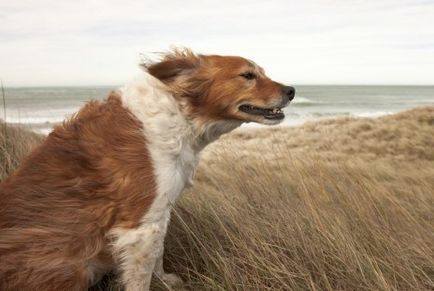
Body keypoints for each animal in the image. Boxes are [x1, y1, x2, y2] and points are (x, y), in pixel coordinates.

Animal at [0, 49, 294, 290]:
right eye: (247, 75)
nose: (291, 90)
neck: (180, 115)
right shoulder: (139, 225)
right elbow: (141, 274)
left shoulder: (158, 213)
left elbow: (158, 253)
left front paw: (164, 280)